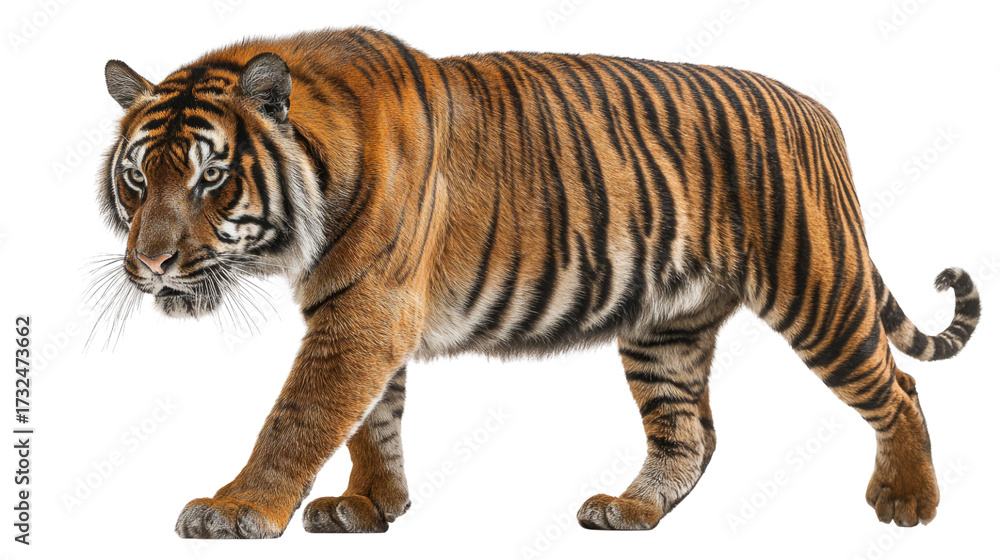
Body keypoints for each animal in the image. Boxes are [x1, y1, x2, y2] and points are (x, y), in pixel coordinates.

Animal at [96, 27, 980, 538]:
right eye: (139, 179)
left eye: (211, 179)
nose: (152, 264)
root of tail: (816, 111)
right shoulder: (359, 310)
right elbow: (373, 420)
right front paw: (372, 507)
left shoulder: (365, 309)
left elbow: (301, 415)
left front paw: (238, 508)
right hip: (665, 327)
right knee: (689, 435)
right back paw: (630, 511)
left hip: (816, 290)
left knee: (898, 388)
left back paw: (909, 502)